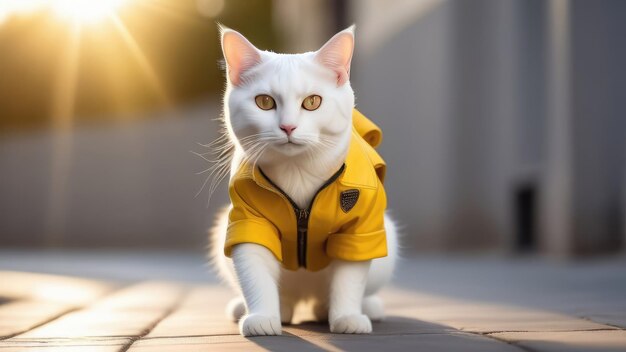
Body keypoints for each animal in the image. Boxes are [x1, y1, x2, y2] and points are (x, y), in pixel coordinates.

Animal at [207, 25, 398, 336]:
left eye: (312, 102)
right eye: (264, 102)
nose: (288, 126)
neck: (297, 171)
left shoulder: (359, 229)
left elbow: (349, 278)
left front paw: (347, 317)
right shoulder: (248, 220)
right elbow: (254, 271)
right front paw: (261, 318)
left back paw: (361, 308)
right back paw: (262, 308)